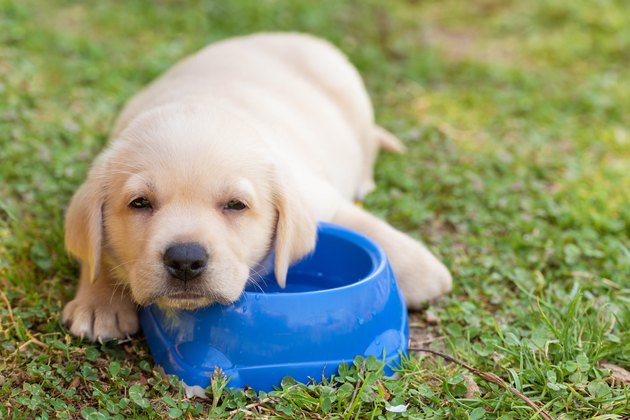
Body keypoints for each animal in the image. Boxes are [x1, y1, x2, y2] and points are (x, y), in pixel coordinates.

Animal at [61, 32, 452, 342]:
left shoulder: (317, 198)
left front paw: (421, 272)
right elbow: (95, 251)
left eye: (236, 205)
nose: (185, 260)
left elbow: (362, 224)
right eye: (140, 203)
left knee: (367, 142)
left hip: (352, 96)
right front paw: (100, 302)